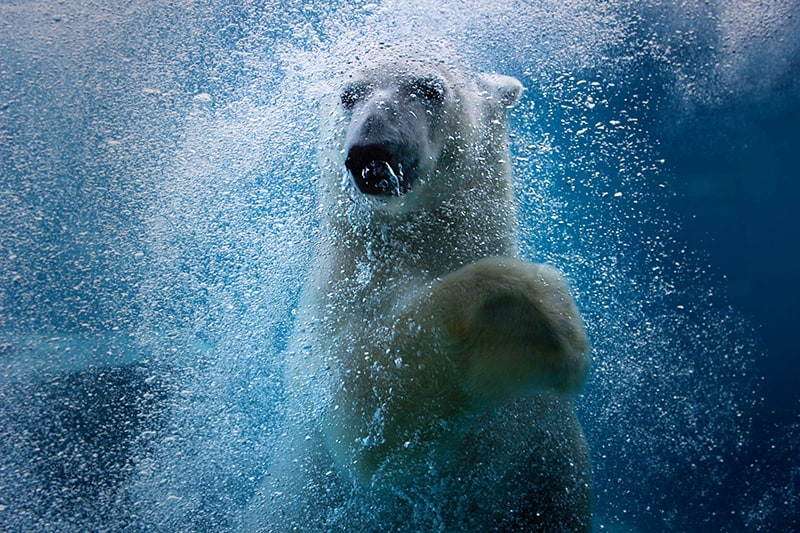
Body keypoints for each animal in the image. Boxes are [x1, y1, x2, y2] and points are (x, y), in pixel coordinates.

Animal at [247, 47, 592, 528]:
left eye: (428, 88)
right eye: (348, 95)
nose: (371, 149)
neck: (410, 242)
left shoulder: (544, 450)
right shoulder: (336, 298)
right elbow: (359, 412)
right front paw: (541, 320)